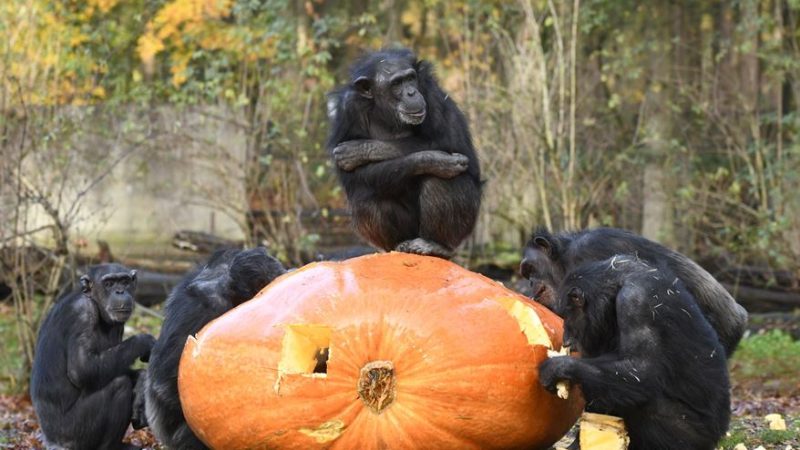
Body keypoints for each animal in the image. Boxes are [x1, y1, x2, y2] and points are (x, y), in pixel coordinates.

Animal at [30, 264, 155, 450]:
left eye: (125, 281)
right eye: (109, 284)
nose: (119, 291)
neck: (95, 303)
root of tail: (50, 441)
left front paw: (141, 380)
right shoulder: (82, 313)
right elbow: (82, 368)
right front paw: (145, 341)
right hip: (75, 433)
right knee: (119, 385)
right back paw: (113, 447)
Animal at [324, 47, 482, 258]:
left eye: (410, 78)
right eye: (397, 83)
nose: (411, 92)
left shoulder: (431, 90)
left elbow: (451, 140)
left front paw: (359, 150)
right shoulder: (347, 109)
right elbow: (354, 176)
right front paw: (432, 159)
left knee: (442, 181)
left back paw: (435, 245)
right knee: (366, 194)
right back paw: (397, 246)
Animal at [536, 256, 732, 450]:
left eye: (566, 316)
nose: (566, 338)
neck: (617, 284)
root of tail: (719, 434)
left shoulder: (636, 303)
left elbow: (639, 369)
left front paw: (558, 367)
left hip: (692, 436)